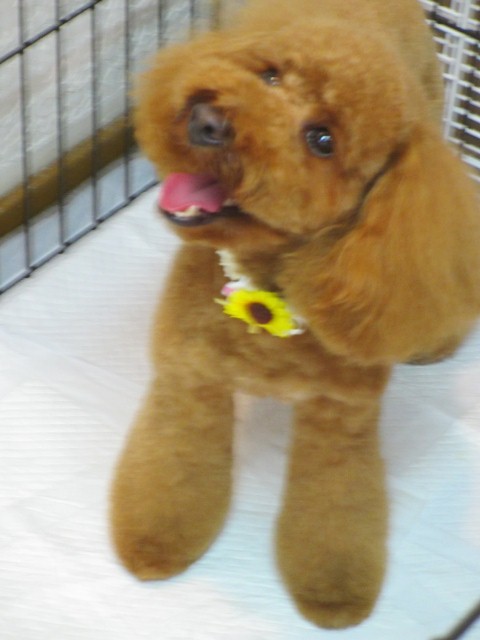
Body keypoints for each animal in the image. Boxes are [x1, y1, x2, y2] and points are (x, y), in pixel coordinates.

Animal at [110, 0, 480, 629]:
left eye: (322, 139)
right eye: (269, 76)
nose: (208, 120)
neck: (266, 302)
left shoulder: (342, 421)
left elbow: (333, 510)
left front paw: (333, 592)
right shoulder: (188, 381)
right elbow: (174, 467)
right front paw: (155, 541)